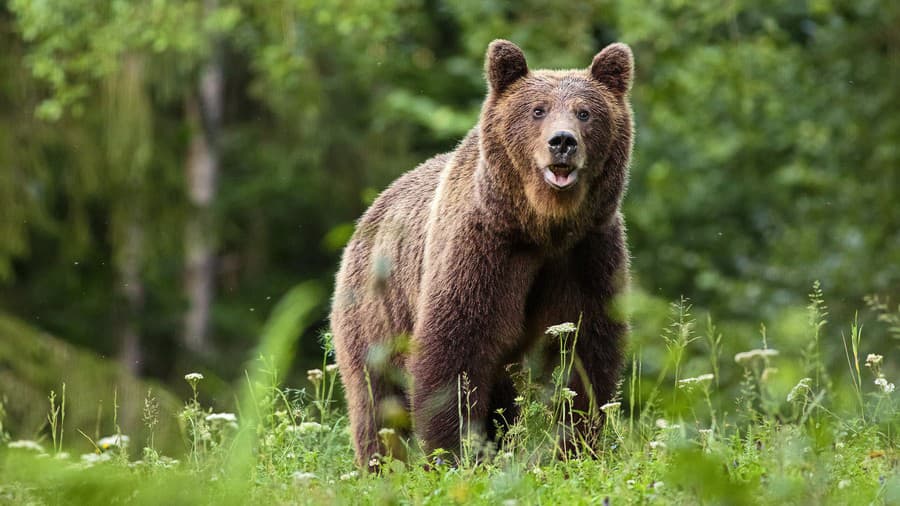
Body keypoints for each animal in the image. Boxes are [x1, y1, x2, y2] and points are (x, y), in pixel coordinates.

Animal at [330, 38, 632, 466]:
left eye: (585, 112)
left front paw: (575, 446)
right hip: (376, 310)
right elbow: (455, 349)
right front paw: (454, 452)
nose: (563, 142)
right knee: (377, 398)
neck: (542, 227)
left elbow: (585, 351)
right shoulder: (483, 250)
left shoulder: (587, 253)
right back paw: (382, 463)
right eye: (537, 110)